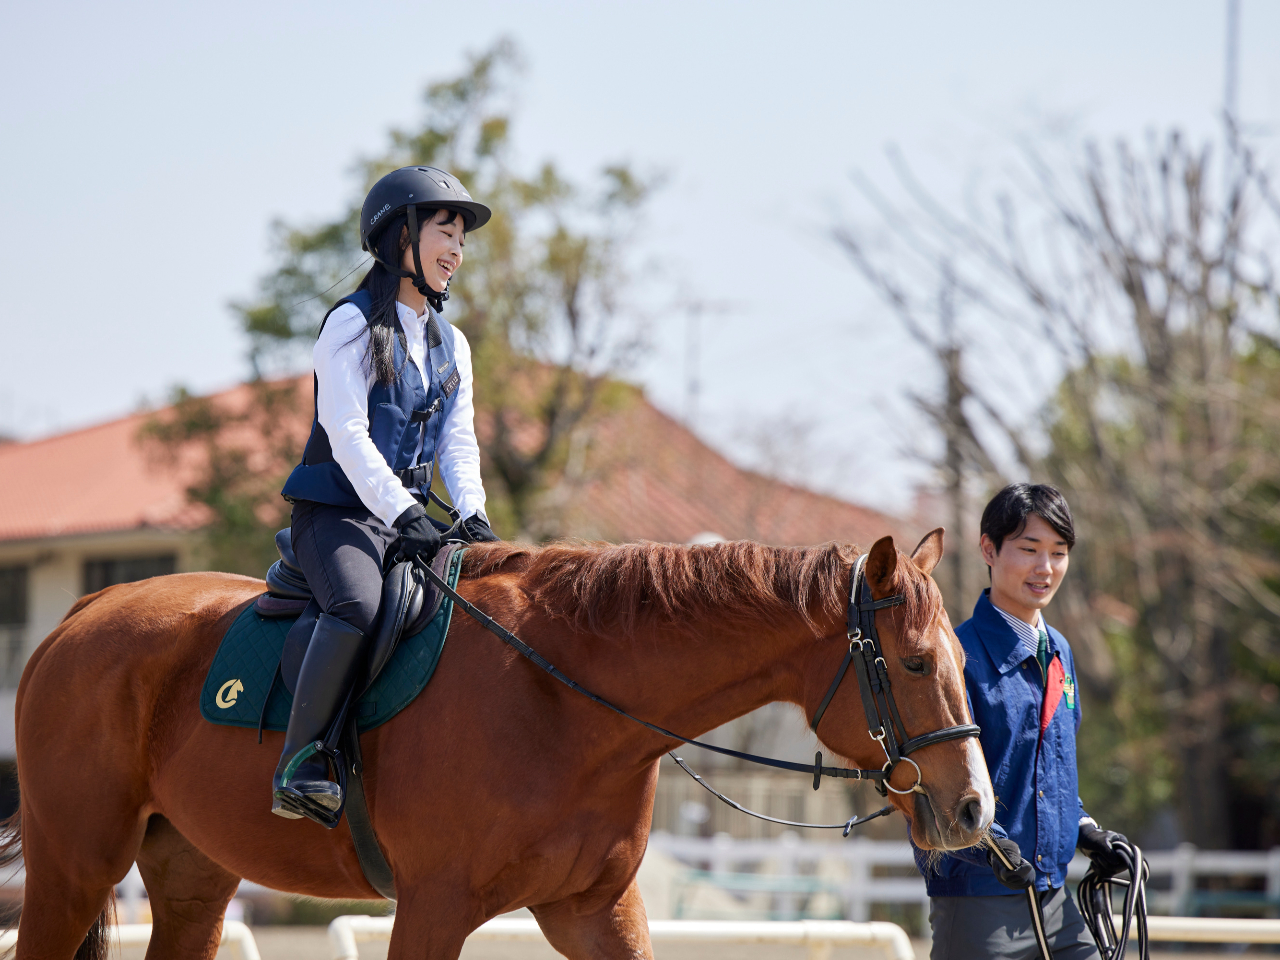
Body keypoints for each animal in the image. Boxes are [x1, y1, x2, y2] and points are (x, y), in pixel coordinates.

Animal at [4, 529, 993, 960]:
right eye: (914, 662)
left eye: (959, 660)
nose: (974, 808)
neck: (562, 700)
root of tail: (83, 613)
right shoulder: (432, 911)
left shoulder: (595, 912)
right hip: (74, 869)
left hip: (193, 882)